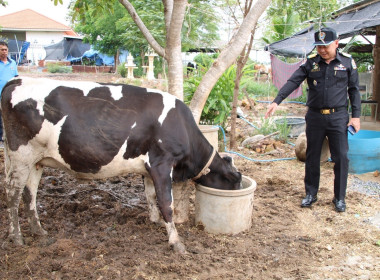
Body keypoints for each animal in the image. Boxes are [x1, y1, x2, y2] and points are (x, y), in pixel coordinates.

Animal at [1, 76, 242, 254]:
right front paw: (176, 242)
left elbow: (150, 196)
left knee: (29, 194)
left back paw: (38, 231)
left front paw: (155, 222)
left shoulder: (148, 169)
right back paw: (17, 237)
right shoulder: (162, 163)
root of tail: (18, 79)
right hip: (21, 155)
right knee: (12, 194)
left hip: (36, 161)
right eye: (236, 181)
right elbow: (166, 203)